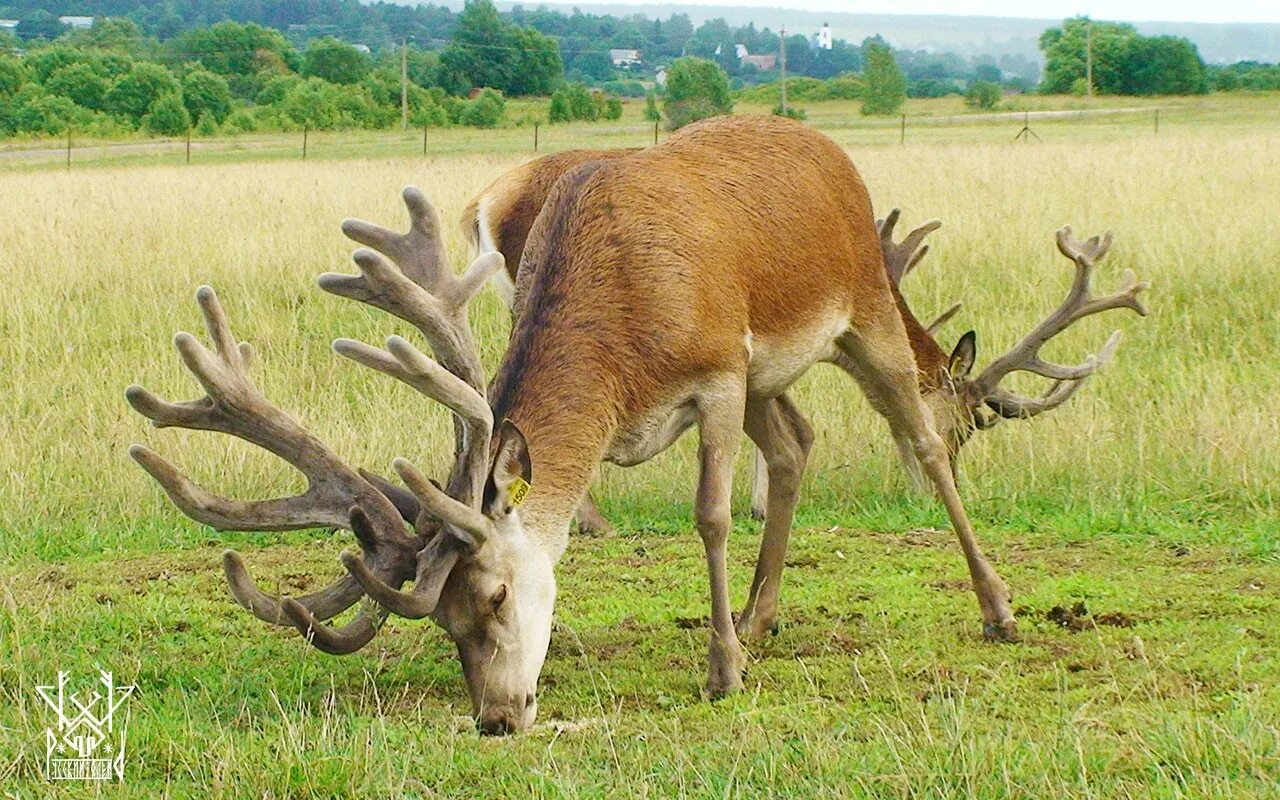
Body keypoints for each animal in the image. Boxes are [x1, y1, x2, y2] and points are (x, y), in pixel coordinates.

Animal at [129, 113, 1152, 737]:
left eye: (494, 597)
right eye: (447, 623)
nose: (497, 718)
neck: (622, 338)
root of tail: (825, 146)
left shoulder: (718, 373)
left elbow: (710, 515)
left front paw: (721, 671)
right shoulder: (735, 377)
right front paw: (732, 639)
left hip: (860, 308)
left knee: (922, 443)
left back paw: (997, 608)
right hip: (781, 364)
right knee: (798, 447)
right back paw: (763, 615)